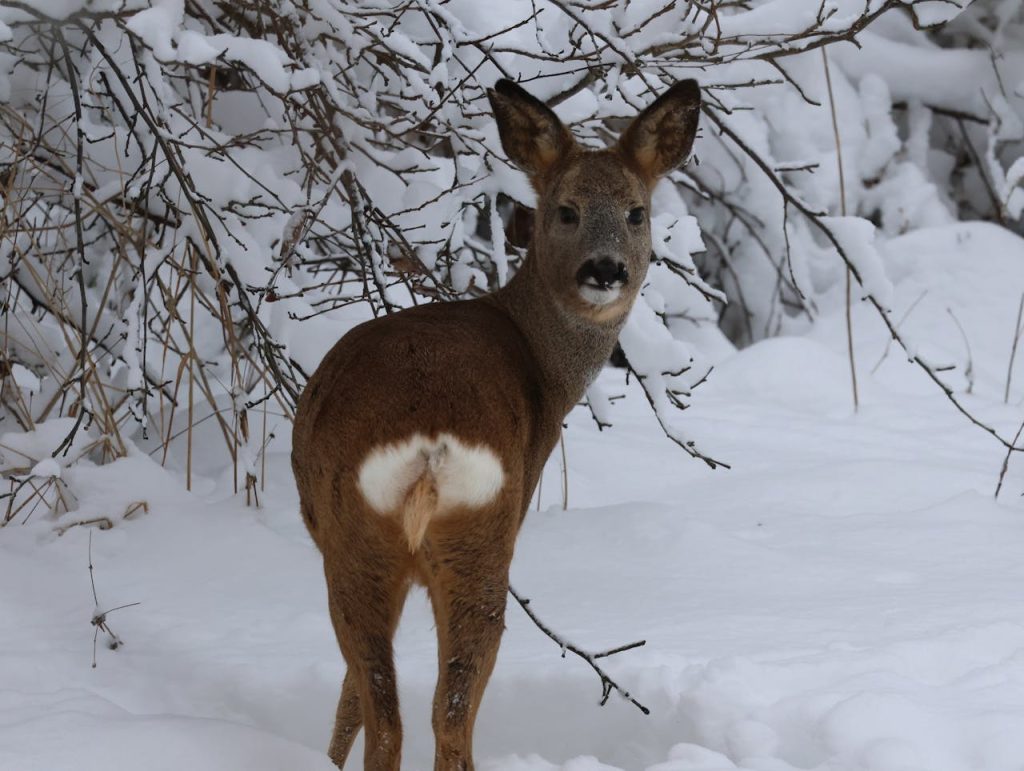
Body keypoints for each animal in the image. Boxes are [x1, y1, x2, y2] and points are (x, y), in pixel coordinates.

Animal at [291, 77, 701, 770]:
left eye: (635, 213)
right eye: (565, 210)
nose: (605, 270)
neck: (542, 365)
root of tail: (430, 444)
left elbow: (351, 696)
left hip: (370, 539)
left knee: (401, 710)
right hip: (471, 532)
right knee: (437, 711)